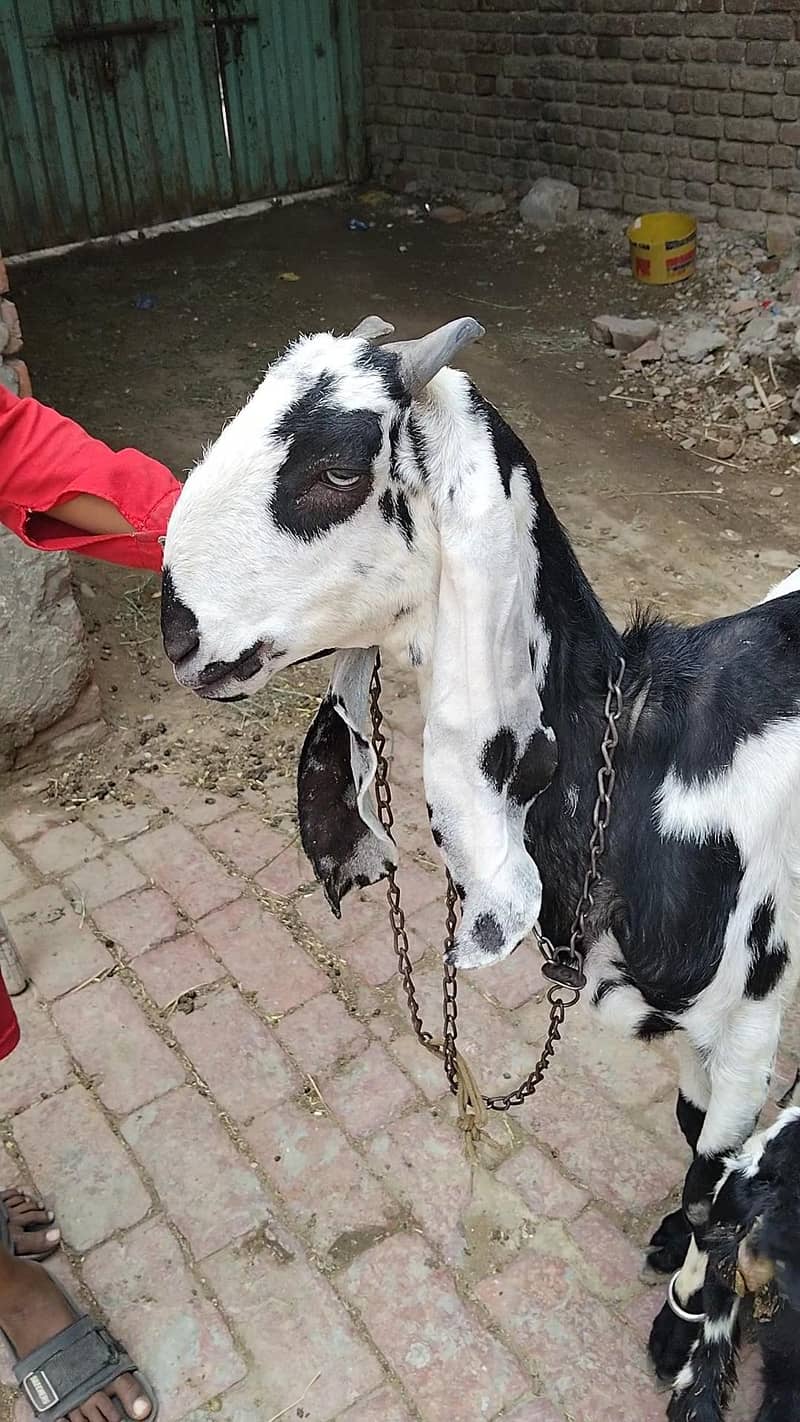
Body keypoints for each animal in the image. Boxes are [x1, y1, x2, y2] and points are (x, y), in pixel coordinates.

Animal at [159, 316, 800, 1387]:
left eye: (339, 468)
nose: (176, 628)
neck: (644, 760)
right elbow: (691, 1140)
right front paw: (675, 1246)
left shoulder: (752, 1019)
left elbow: (714, 1173)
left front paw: (683, 1324)